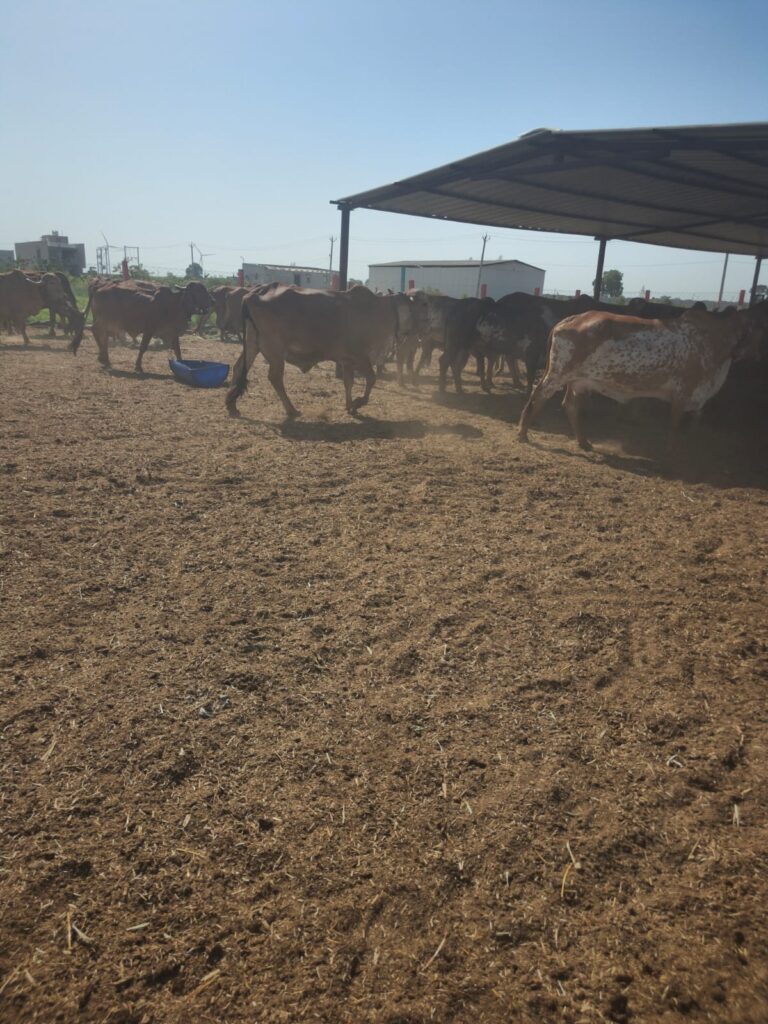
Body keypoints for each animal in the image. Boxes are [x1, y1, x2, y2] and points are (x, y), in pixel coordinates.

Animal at [70, 279, 212, 371]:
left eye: (205, 290)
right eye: (199, 291)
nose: (213, 300)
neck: (175, 304)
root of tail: (98, 287)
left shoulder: (172, 333)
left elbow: (178, 350)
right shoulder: (149, 330)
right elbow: (143, 347)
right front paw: (138, 366)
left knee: (96, 331)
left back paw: (103, 358)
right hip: (106, 320)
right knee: (96, 331)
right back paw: (105, 358)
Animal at [226, 284, 406, 419]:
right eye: (414, 307)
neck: (375, 310)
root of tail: (255, 293)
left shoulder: (347, 360)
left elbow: (349, 382)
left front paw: (350, 406)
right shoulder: (360, 356)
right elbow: (371, 378)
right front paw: (358, 402)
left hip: (252, 344)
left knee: (238, 367)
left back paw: (231, 405)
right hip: (276, 352)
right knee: (275, 378)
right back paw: (291, 409)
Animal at [518, 307, 763, 450]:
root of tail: (572, 318)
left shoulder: (698, 399)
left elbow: (695, 420)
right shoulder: (681, 394)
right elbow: (674, 427)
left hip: (579, 381)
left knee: (570, 405)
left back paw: (583, 441)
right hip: (558, 374)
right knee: (538, 396)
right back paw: (523, 432)